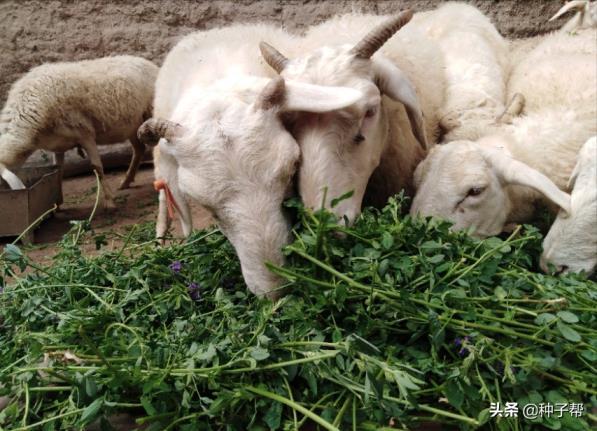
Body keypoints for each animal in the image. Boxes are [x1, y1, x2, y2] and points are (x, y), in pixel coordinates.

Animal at [0, 55, 158, 208]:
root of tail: (146, 62)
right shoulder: (57, 144)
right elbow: (58, 171)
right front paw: (57, 203)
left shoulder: (85, 134)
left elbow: (97, 168)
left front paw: (109, 201)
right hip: (133, 126)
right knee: (139, 149)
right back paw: (126, 181)